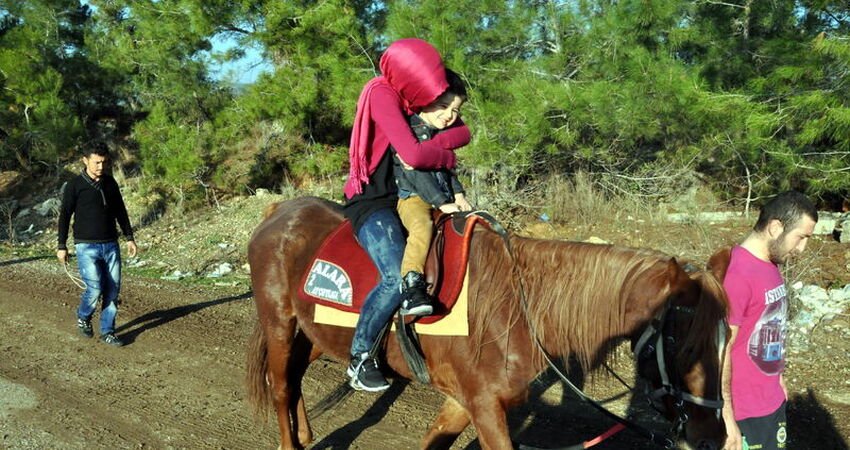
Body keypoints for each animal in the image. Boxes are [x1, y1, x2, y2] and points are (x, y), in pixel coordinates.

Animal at [245, 198, 728, 450]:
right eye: (684, 348)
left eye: (725, 345)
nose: (713, 438)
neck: (518, 307)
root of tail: (279, 210)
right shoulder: (484, 408)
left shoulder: (466, 403)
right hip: (279, 323)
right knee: (281, 384)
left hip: (309, 333)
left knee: (294, 379)